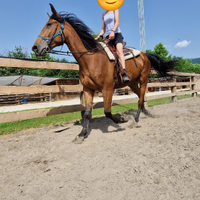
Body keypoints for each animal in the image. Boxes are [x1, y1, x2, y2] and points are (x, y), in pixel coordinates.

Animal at [32, 4, 176, 142]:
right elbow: (87, 113)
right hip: (133, 83)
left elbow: (107, 111)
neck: (91, 58)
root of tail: (144, 55)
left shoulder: (107, 89)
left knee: (141, 98)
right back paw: (146, 113)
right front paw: (82, 134)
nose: (35, 47)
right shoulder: (88, 89)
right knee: (141, 97)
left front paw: (122, 119)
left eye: (49, 24)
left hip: (144, 79)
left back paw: (136, 119)